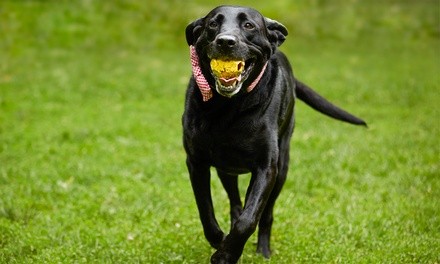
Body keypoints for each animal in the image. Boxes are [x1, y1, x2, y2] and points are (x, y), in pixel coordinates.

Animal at [182, 5, 364, 262]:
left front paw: (226, 254)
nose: (226, 41)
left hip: (281, 169)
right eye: (212, 24)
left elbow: (249, 219)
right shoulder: (196, 162)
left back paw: (263, 250)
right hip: (226, 169)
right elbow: (205, 210)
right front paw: (219, 241)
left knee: (265, 214)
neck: (229, 107)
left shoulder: (266, 167)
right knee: (235, 203)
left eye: (249, 25)